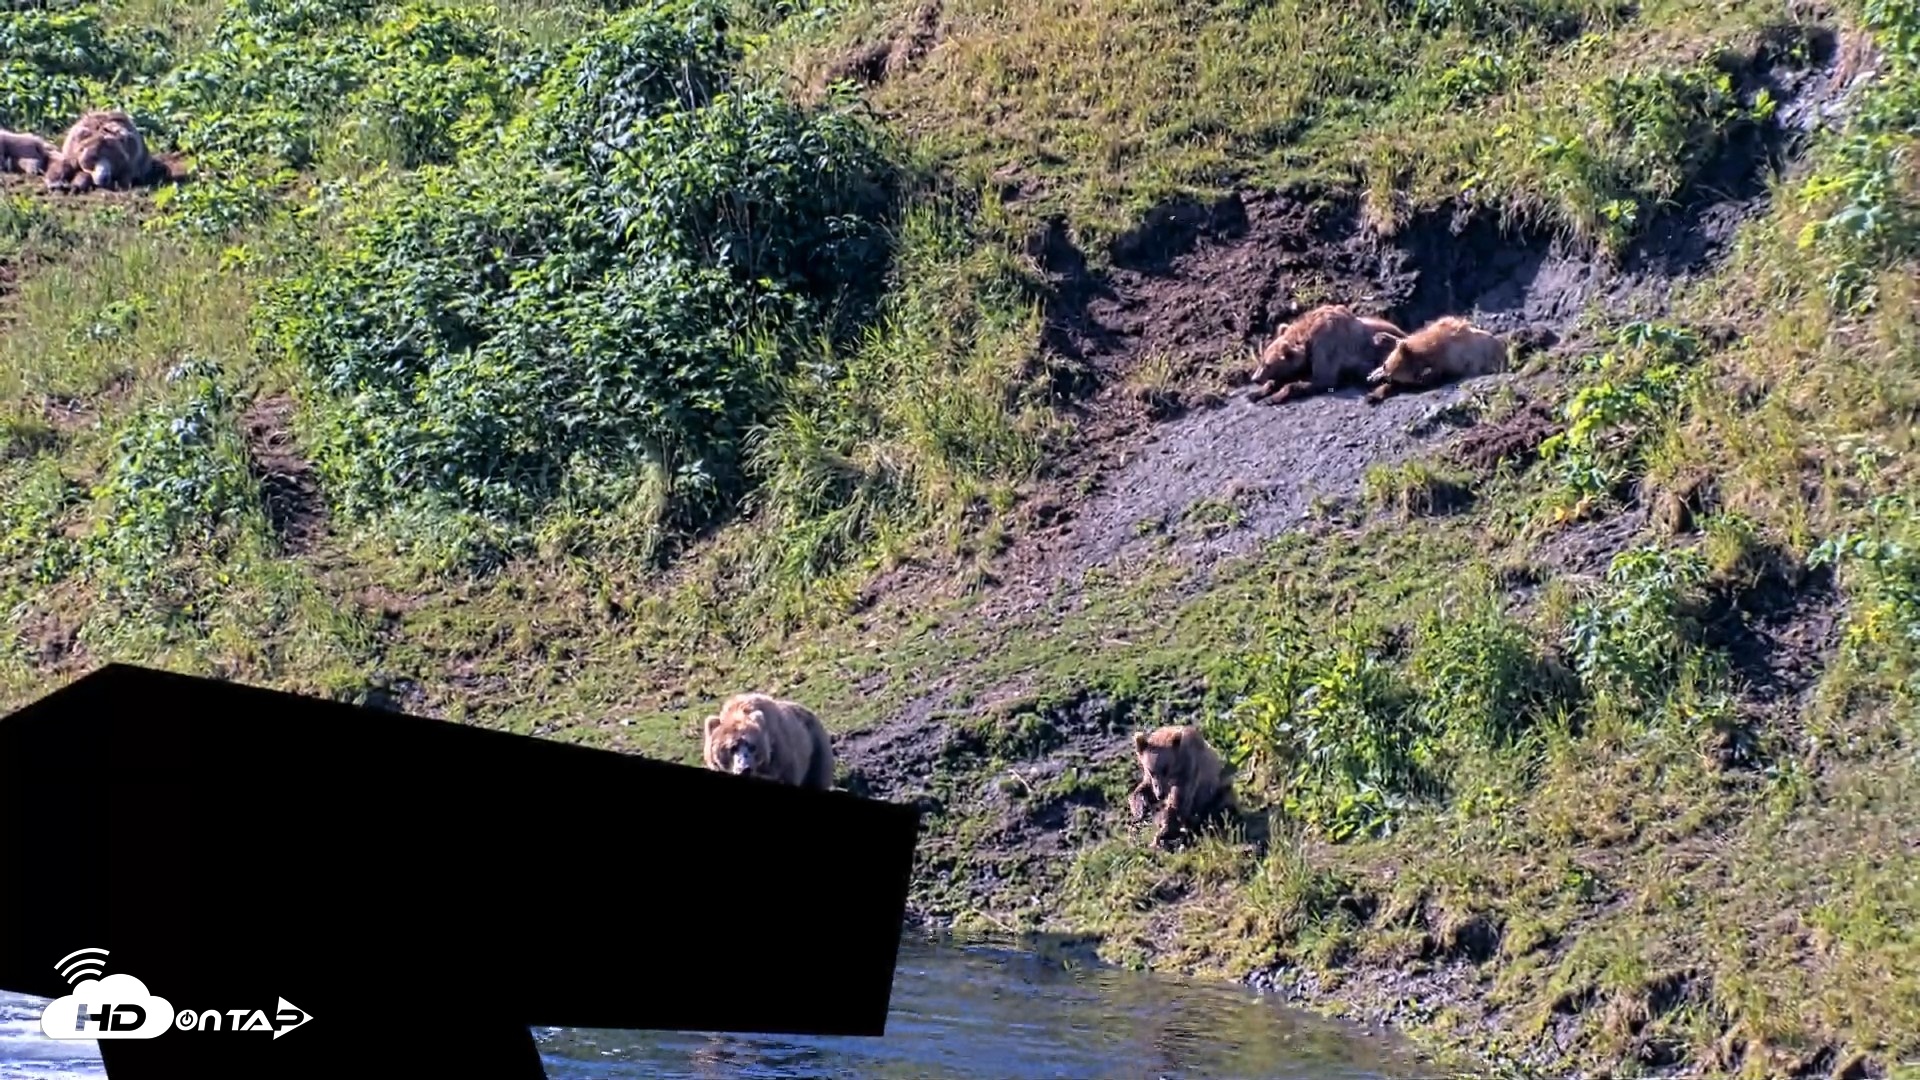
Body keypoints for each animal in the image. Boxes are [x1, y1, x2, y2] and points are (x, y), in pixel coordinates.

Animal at [1248, 305, 1407, 405]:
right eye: (1261, 360)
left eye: (1268, 365)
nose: (1255, 378)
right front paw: (1255, 394)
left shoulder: (1325, 347)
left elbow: (1322, 379)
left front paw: (1272, 398)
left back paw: (1373, 394)